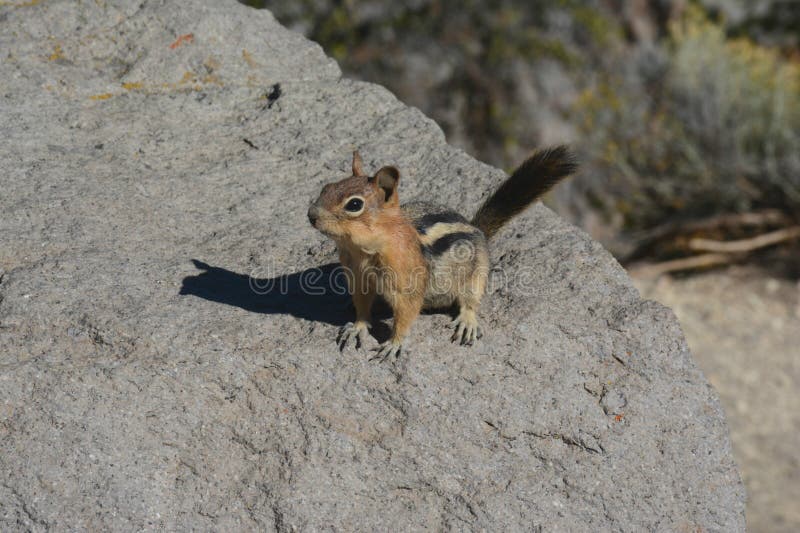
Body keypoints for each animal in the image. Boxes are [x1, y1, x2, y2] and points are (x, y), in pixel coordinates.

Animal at [306, 148, 576, 360]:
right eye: (326, 187)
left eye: (354, 204)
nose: (311, 215)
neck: (362, 251)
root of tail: (477, 228)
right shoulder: (358, 278)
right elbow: (362, 306)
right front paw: (357, 326)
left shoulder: (407, 285)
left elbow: (405, 315)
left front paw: (394, 344)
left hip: (477, 273)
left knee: (471, 300)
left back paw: (467, 321)